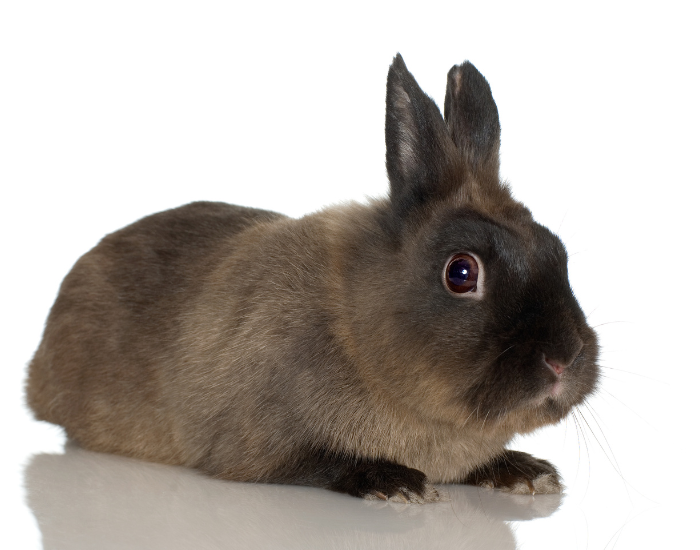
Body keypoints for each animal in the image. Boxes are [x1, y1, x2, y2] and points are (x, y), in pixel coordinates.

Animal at [26, 54, 599, 503]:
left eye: (556, 249)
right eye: (461, 272)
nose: (563, 358)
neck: (354, 327)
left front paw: (527, 473)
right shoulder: (261, 450)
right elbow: (324, 461)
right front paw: (396, 483)